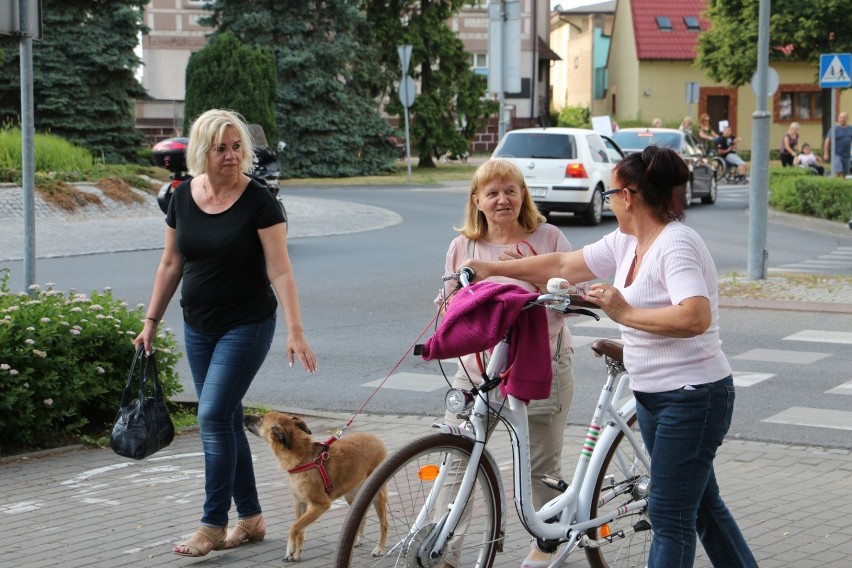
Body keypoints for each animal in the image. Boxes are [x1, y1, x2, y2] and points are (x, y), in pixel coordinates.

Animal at [245, 410, 388, 560]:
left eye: (260, 419)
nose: (243, 416)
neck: (301, 459)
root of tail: (375, 438)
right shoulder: (300, 503)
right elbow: (300, 530)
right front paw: (297, 553)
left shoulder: (319, 505)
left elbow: (294, 527)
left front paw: (290, 548)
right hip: (352, 496)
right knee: (362, 516)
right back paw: (359, 539)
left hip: (378, 495)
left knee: (384, 524)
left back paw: (380, 548)